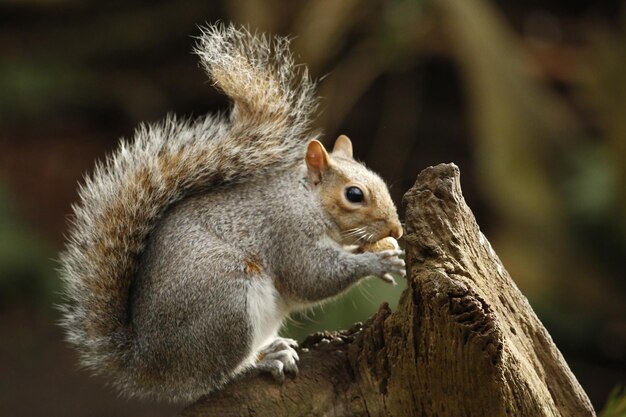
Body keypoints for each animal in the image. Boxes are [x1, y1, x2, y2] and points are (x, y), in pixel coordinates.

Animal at [59, 23, 404, 404]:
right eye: (354, 194)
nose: (397, 230)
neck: (305, 199)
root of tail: (148, 363)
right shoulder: (286, 232)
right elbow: (312, 277)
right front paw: (377, 262)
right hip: (228, 300)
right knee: (217, 375)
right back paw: (260, 362)